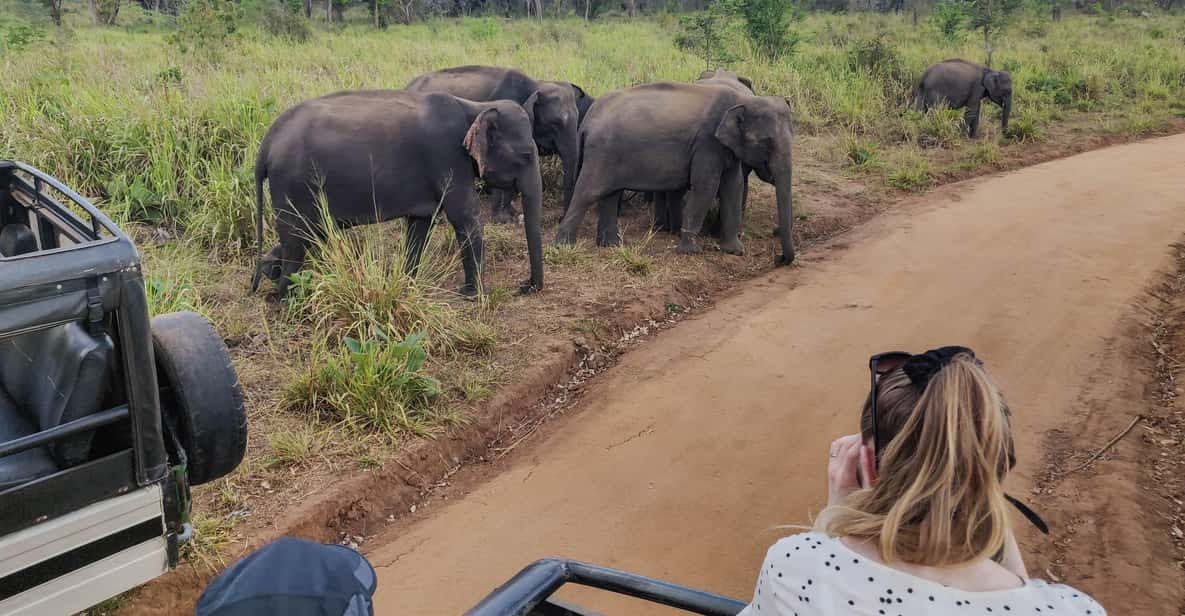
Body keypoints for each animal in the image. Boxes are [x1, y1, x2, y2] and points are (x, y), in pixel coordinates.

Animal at [253, 90, 545, 299]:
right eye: (527, 155)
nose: (524, 286)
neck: (475, 106)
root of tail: (267, 143)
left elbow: (421, 224)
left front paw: (407, 284)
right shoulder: (447, 157)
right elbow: (465, 217)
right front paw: (474, 295)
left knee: (308, 235)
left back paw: (270, 270)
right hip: (292, 185)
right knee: (297, 238)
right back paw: (289, 298)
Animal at [554, 79, 796, 264]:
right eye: (765, 142)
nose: (779, 259)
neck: (742, 100)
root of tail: (588, 119)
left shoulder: (726, 147)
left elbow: (733, 186)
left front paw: (735, 251)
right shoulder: (707, 143)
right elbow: (706, 187)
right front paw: (690, 251)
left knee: (611, 195)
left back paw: (611, 245)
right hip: (602, 153)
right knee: (589, 192)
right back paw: (563, 247)